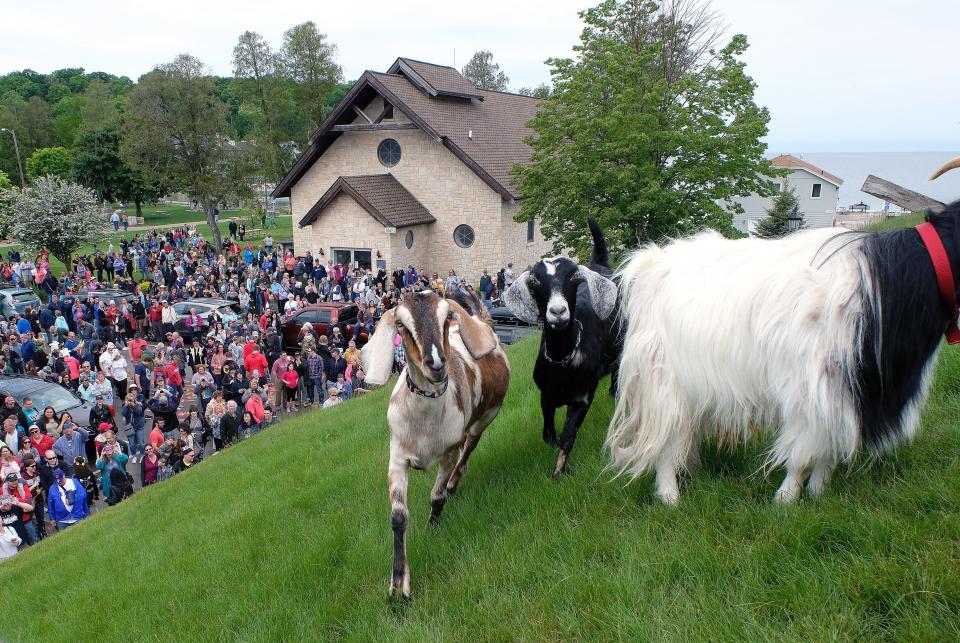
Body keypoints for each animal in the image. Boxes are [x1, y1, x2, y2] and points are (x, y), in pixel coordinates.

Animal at [360, 290, 510, 600]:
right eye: (401, 325)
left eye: (446, 317)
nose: (437, 364)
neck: (424, 425)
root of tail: (484, 322)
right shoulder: (397, 456)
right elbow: (398, 517)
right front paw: (398, 587)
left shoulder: (448, 453)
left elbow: (436, 495)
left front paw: (433, 525)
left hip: (487, 416)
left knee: (470, 447)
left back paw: (454, 484)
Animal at [506, 219, 620, 476]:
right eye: (535, 281)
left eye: (573, 279)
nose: (558, 311)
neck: (562, 360)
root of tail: (600, 265)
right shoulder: (545, 394)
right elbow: (548, 433)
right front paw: (552, 444)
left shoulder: (582, 397)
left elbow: (568, 437)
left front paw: (559, 472)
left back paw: (614, 393)